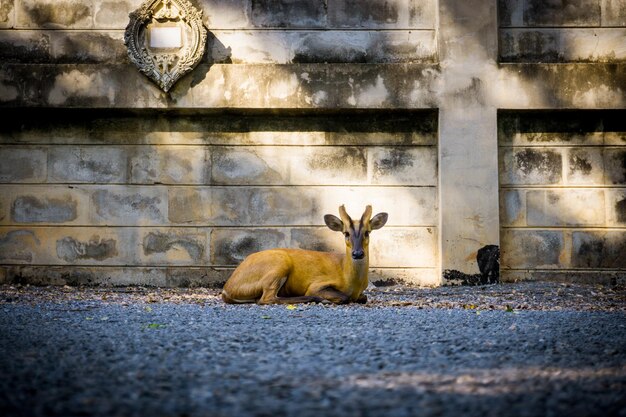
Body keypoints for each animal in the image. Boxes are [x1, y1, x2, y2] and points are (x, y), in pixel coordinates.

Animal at [219, 204, 386, 304]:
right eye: (346, 233)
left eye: (367, 232)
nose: (357, 253)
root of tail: (227, 289)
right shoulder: (317, 284)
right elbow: (345, 297)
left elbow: (364, 297)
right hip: (278, 265)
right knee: (266, 298)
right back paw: (314, 299)